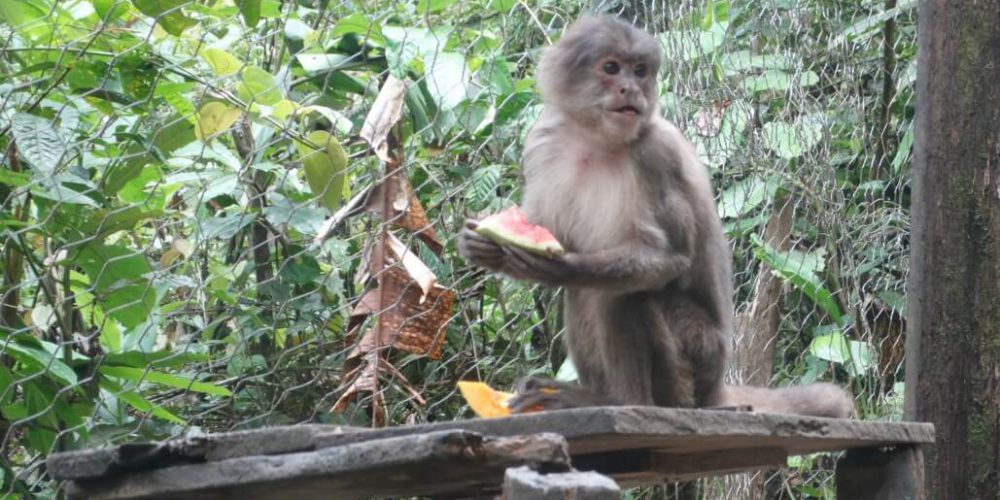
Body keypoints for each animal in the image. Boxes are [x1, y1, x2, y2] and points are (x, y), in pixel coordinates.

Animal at [458, 15, 852, 418]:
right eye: (612, 68)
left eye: (640, 71)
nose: (631, 88)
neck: (597, 140)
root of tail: (716, 389)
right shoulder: (544, 139)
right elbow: (548, 226)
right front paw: (481, 246)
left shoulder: (656, 155)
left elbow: (669, 258)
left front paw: (561, 267)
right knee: (590, 293)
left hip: (697, 361)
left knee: (625, 294)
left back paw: (621, 401)